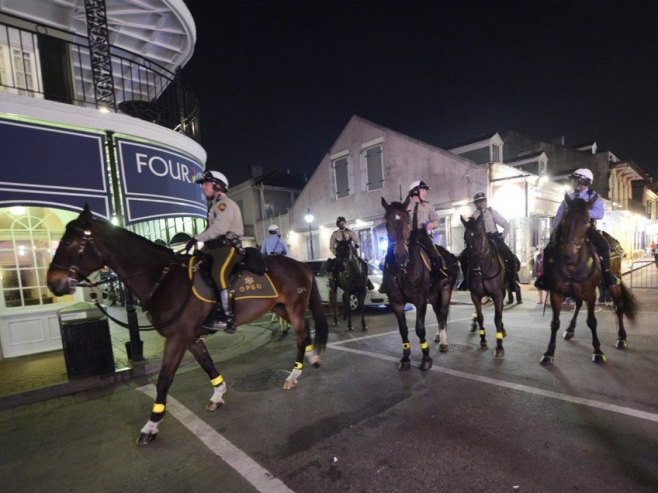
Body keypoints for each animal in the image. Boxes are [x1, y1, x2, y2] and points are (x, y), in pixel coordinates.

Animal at [46, 206, 328, 444]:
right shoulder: (190, 338)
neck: (163, 278)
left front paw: (151, 425)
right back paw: (312, 359)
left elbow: (164, 379)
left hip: (294, 308)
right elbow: (207, 365)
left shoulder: (177, 339)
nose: (53, 283)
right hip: (282, 309)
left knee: (301, 338)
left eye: (68, 241)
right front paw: (218, 395)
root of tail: (301, 264)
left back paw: (293, 376)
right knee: (306, 335)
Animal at [380, 196, 456, 368]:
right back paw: (438, 337)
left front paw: (426, 358)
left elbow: (420, 329)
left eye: (408, 221)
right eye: (387, 224)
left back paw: (443, 342)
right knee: (438, 314)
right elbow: (403, 330)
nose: (401, 255)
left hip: (446, 290)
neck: (403, 270)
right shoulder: (396, 303)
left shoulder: (420, 301)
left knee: (443, 313)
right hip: (433, 295)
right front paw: (405, 357)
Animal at [458, 213, 504, 356]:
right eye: (465, 237)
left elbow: (497, 318)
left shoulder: (498, 295)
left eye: (479, 235)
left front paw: (499, 346)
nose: (476, 267)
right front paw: (483, 340)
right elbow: (480, 317)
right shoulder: (475, 295)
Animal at [540, 193, 636, 366]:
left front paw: (598, 352)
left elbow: (592, 321)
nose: (568, 255)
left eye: (586, 222)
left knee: (619, 307)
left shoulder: (591, 294)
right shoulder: (556, 293)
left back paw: (621, 338)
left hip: (613, 283)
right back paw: (570, 330)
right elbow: (554, 323)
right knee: (578, 304)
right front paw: (549, 353)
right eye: (564, 220)